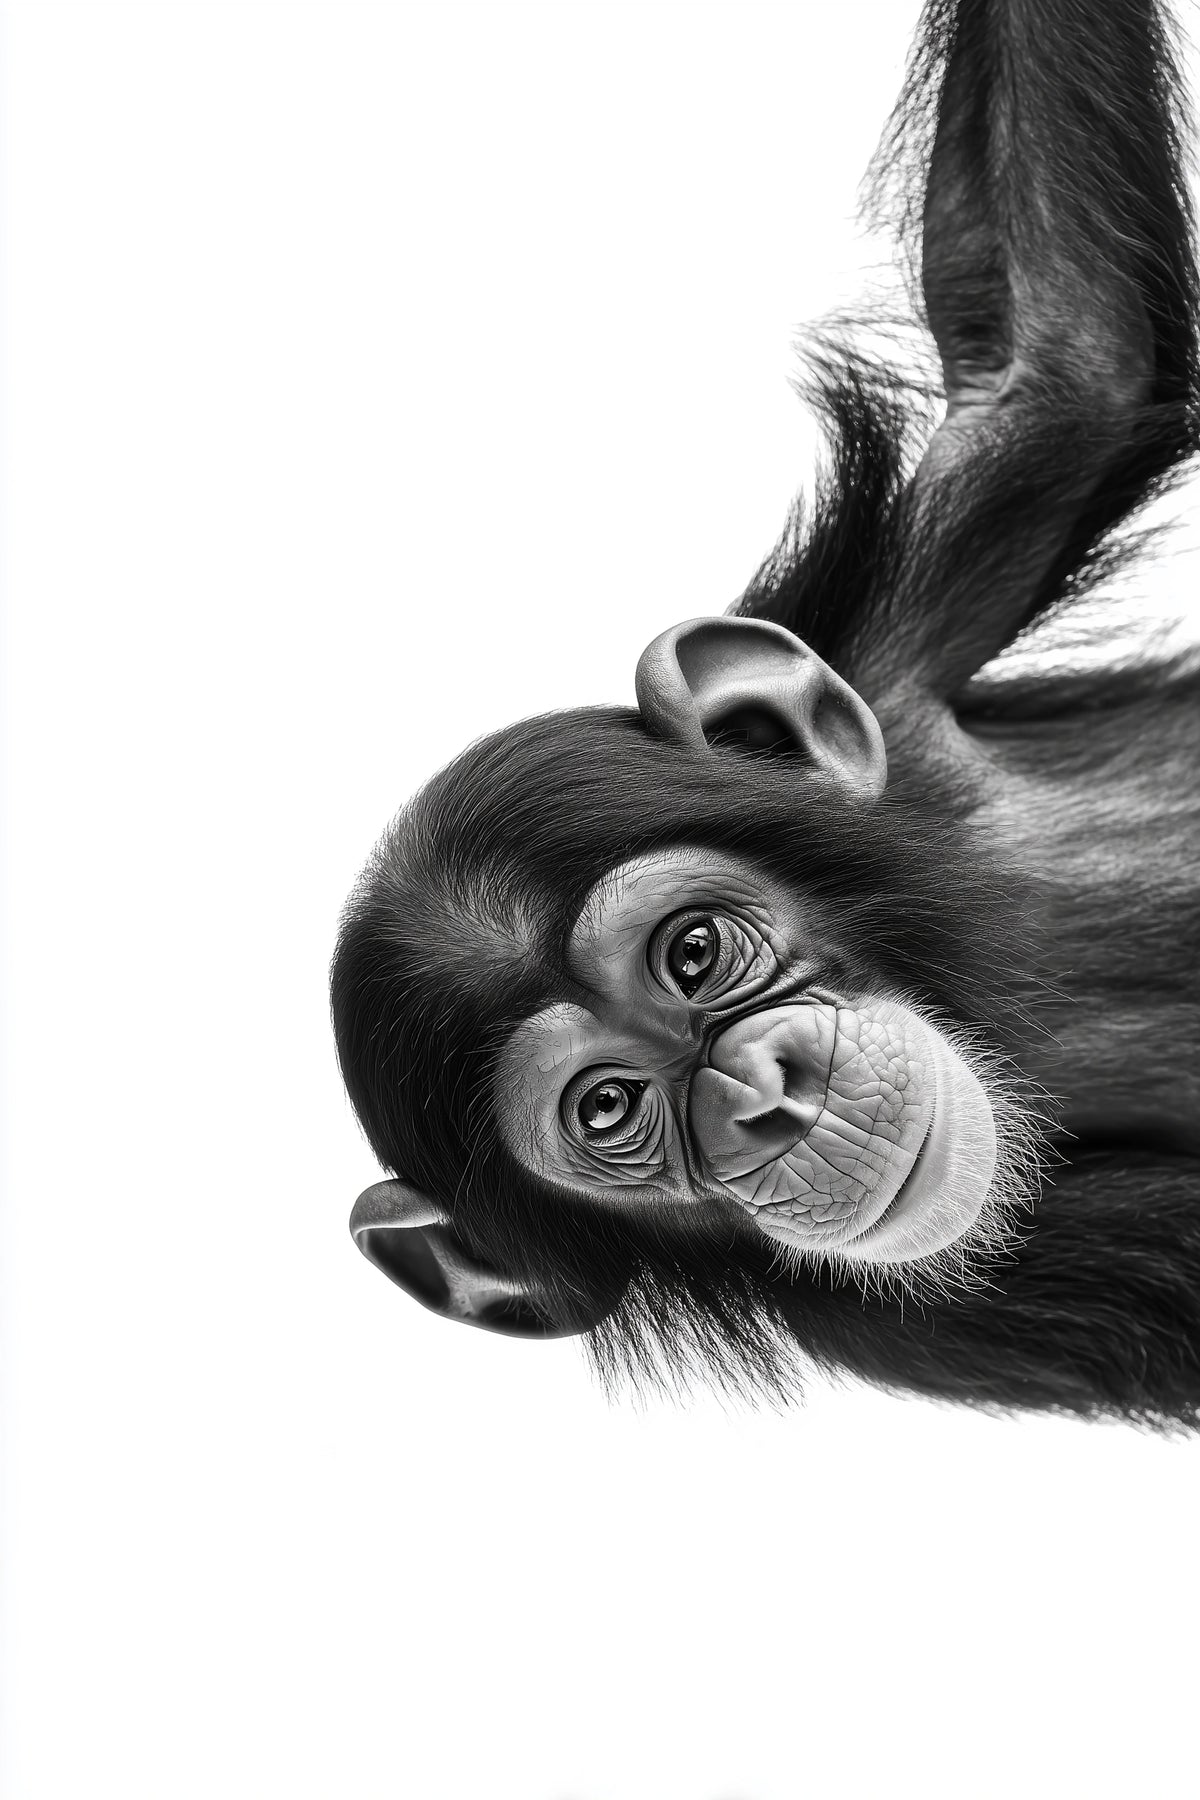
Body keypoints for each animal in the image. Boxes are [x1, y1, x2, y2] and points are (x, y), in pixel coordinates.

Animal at [332, 0, 1200, 1427]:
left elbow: (1061, 353)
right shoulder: (942, 1318)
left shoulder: (889, 674)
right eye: (610, 1110)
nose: (764, 1098)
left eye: (693, 955)